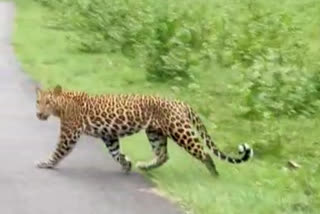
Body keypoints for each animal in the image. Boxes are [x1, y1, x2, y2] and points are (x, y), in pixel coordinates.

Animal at [35, 84, 254, 176]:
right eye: (38, 102)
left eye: (48, 102)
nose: (38, 114)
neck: (62, 104)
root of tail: (181, 102)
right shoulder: (109, 135)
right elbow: (115, 153)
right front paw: (126, 164)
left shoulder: (69, 134)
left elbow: (58, 151)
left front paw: (45, 163)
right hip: (155, 133)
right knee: (163, 155)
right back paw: (144, 166)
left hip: (180, 131)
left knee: (204, 153)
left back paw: (214, 175)